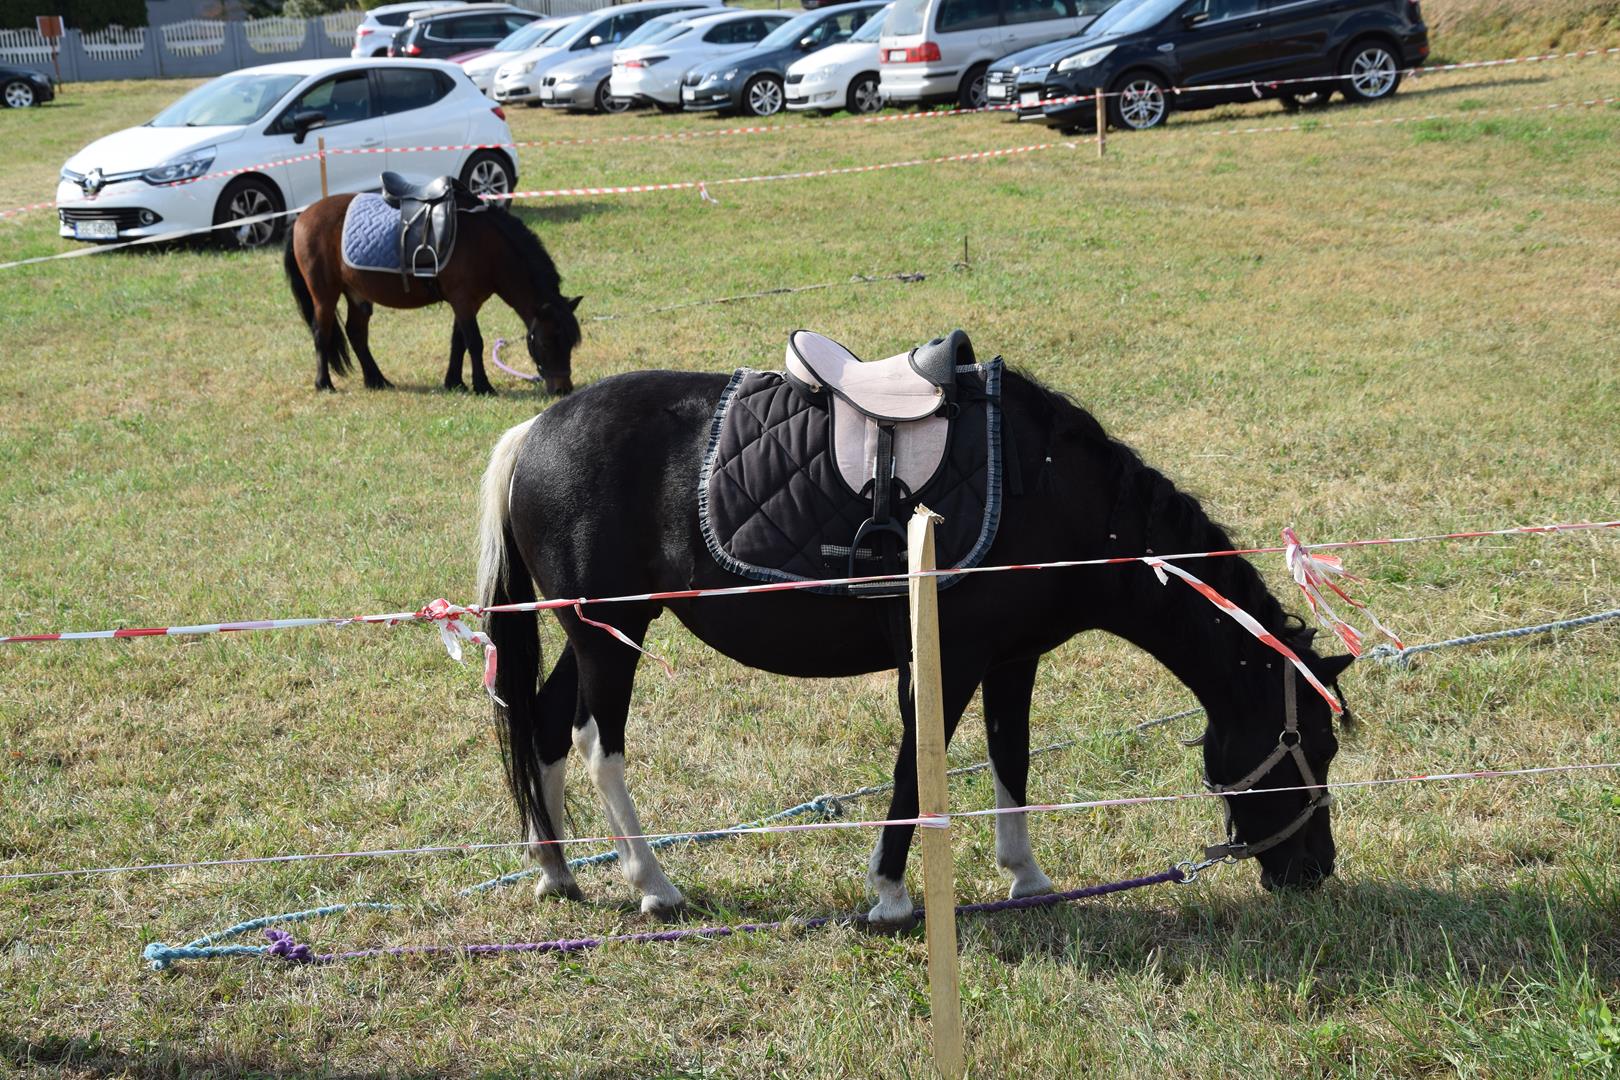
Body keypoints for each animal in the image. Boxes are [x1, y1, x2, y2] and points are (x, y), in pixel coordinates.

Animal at [285, 195, 583, 396]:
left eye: (570, 344)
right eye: (546, 342)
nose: (563, 389)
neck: (486, 245)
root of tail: (302, 216)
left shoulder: (468, 302)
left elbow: (458, 342)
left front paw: (455, 382)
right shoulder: (462, 300)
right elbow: (474, 342)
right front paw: (482, 385)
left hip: (357, 294)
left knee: (356, 334)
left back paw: (377, 380)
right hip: (324, 295)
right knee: (321, 333)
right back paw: (324, 383)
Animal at [473, 367, 1354, 926]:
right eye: (1311, 744)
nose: (1316, 871)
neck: (1052, 493)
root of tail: (533, 431)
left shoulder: (1012, 658)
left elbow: (1011, 759)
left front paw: (1027, 878)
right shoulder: (949, 657)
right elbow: (912, 770)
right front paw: (892, 897)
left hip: (600, 631)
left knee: (545, 726)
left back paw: (556, 870)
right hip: (609, 634)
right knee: (598, 743)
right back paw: (654, 884)